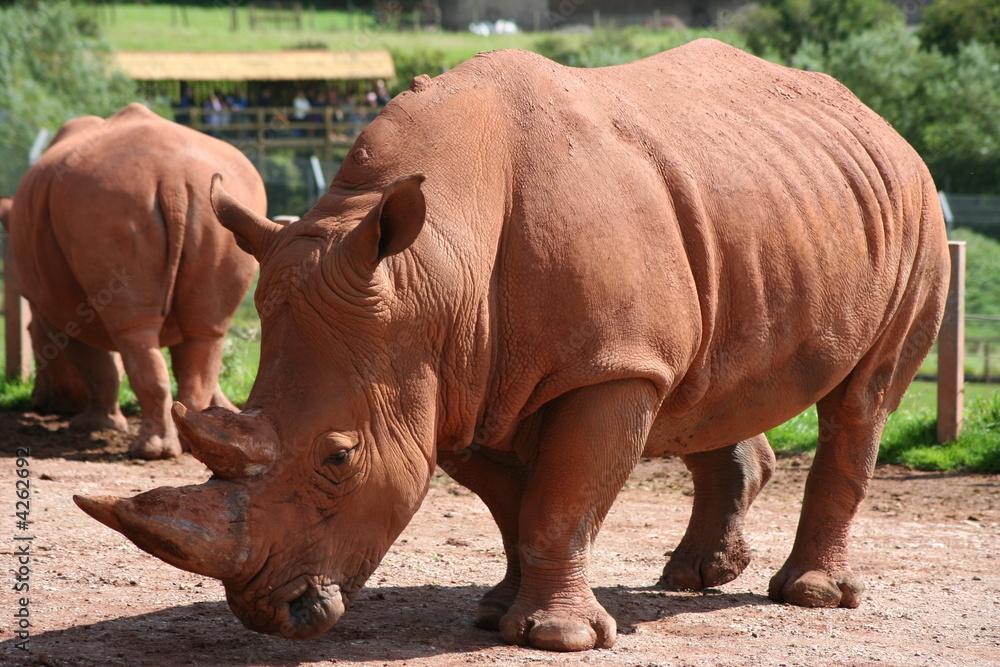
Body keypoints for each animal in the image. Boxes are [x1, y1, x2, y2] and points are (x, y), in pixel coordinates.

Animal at [4, 103, 265, 459]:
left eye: (30, 334)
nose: (39, 404)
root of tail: (173, 178)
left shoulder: (56, 307)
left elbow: (92, 362)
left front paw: (92, 425)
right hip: (225, 205)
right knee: (207, 332)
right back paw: (186, 446)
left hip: (108, 203)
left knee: (133, 330)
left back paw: (150, 451)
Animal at [75, 41, 949, 651]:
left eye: (340, 457)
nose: (269, 612)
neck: (432, 274)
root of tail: (878, 121)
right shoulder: (454, 376)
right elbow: (510, 501)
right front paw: (496, 610)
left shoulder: (607, 365)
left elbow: (562, 497)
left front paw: (557, 637)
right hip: (764, 206)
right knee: (707, 382)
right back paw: (691, 577)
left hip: (916, 212)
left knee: (861, 401)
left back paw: (809, 595)